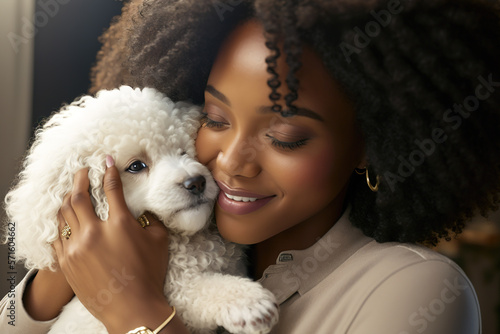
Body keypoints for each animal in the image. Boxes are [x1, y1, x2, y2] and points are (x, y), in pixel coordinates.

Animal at [3, 87, 278, 334]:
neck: (185, 242)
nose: (197, 182)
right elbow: (195, 290)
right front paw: (249, 302)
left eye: (183, 151)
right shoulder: (171, 291)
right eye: (136, 166)